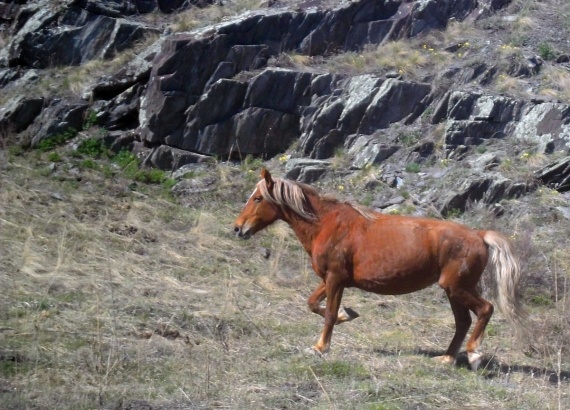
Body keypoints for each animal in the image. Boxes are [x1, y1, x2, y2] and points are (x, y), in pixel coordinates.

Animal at [232, 168, 524, 370]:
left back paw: (474, 354)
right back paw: (447, 358)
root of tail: (479, 235)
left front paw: (320, 347)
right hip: (453, 291)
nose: (237, 228)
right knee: (463, 322)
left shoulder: (335, 278)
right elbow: (313, 303)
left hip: (457, 287)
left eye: (257, 198)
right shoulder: (331, 279)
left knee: (485, 310)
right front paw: (348, 315)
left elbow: (328, 313)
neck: (327, 224)